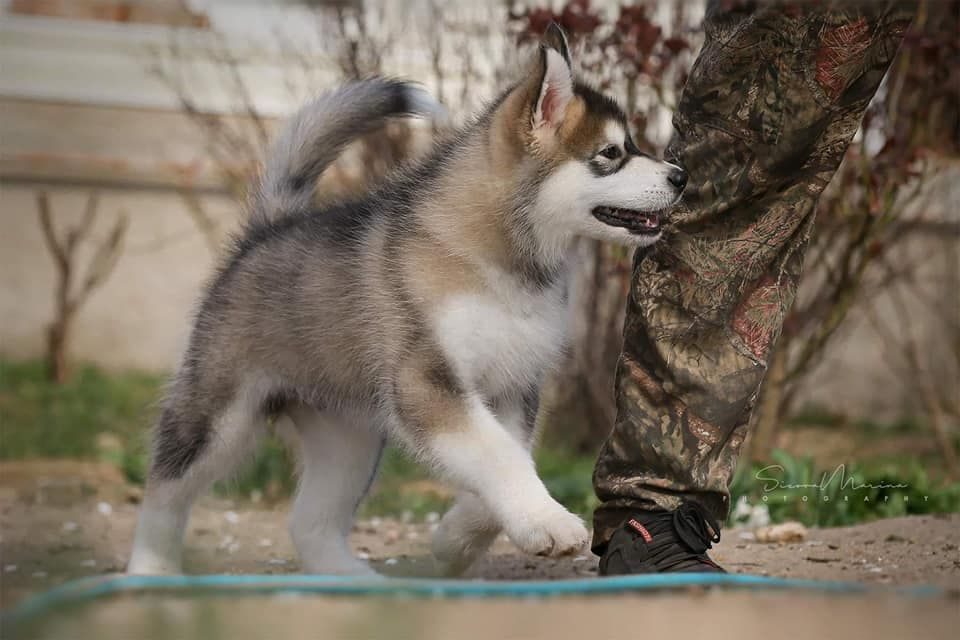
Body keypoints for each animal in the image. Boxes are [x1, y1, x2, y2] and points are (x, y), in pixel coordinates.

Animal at [131, 23, 688, 576]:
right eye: (611, 154)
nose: (681, 176)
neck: (504, 263)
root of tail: (268, 228)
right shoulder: (428, 383)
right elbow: (498, 455)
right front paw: (547, 522)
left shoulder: (513, 386)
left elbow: (508, 458)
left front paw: (454, 542)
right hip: (216, 416)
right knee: (164, 494)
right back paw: (149, 573)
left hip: (347, 436)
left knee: (309, 521)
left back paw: (356, 582)